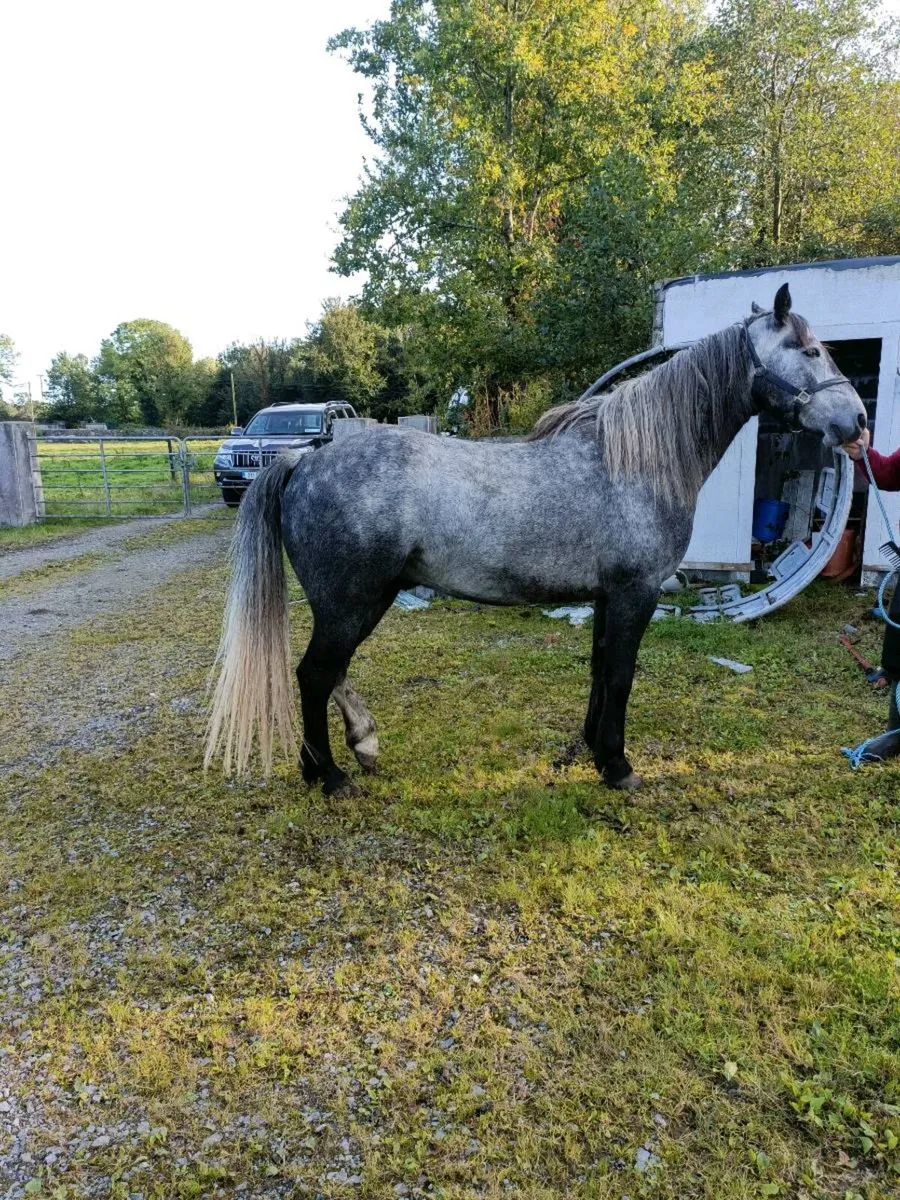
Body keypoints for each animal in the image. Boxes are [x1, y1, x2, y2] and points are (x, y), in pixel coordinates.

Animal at [205, 285, 866, 794]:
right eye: (810, 350)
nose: (857, 422)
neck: (632, 462)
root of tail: (305, 459)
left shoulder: (607, 597)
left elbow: (600, 670)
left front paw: (593, 751)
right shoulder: (637, 594)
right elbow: (621, 675)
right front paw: (619, 767)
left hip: (362, 600)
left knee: (327, 673)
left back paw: (353, 749)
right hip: (353, 602)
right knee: (315, 675)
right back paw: (330, 775)